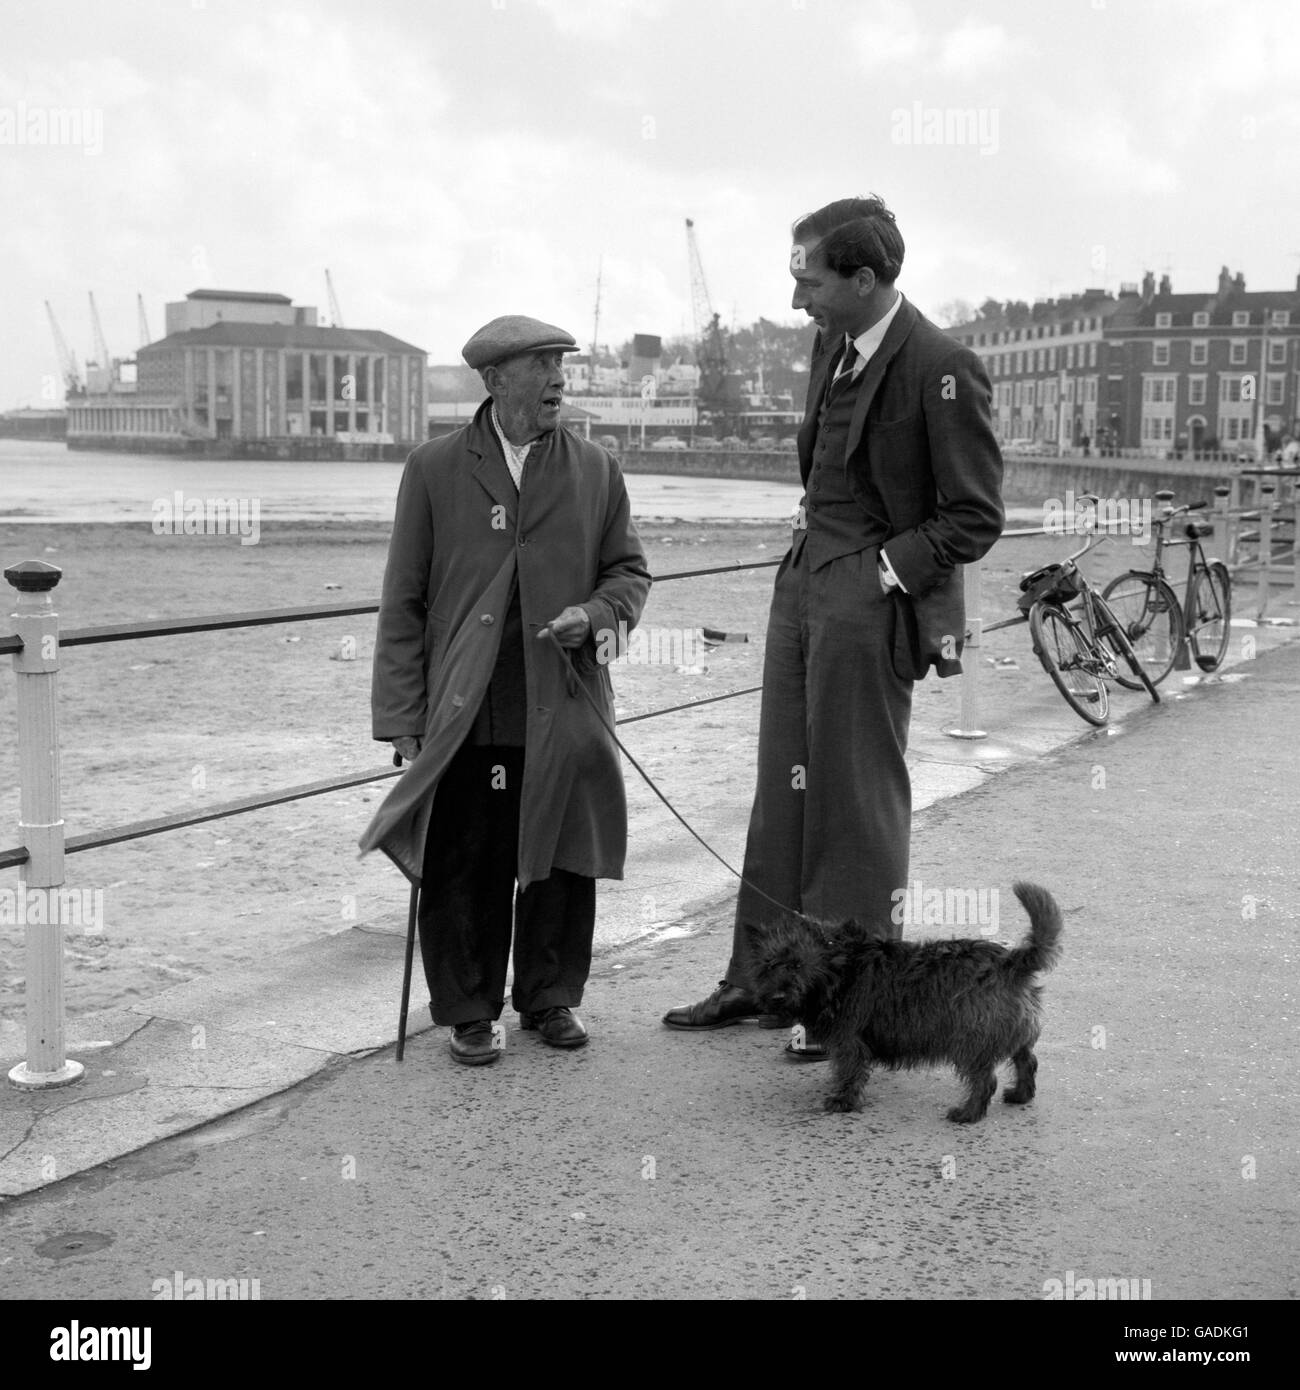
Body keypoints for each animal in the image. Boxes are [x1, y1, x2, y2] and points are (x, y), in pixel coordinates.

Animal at [745, 884, 1062, 1123]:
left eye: (797, 964)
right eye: (768, 965)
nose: (777, 997)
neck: (840, 965)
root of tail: (1010, 962)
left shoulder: (850, 1040)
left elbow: (849, 1069)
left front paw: (842, 1100)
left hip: (970, 1040)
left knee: (985, 1080)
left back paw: (967, 1114)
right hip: (1016, 1032)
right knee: (1026, 1061)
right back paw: (1020, 1095)